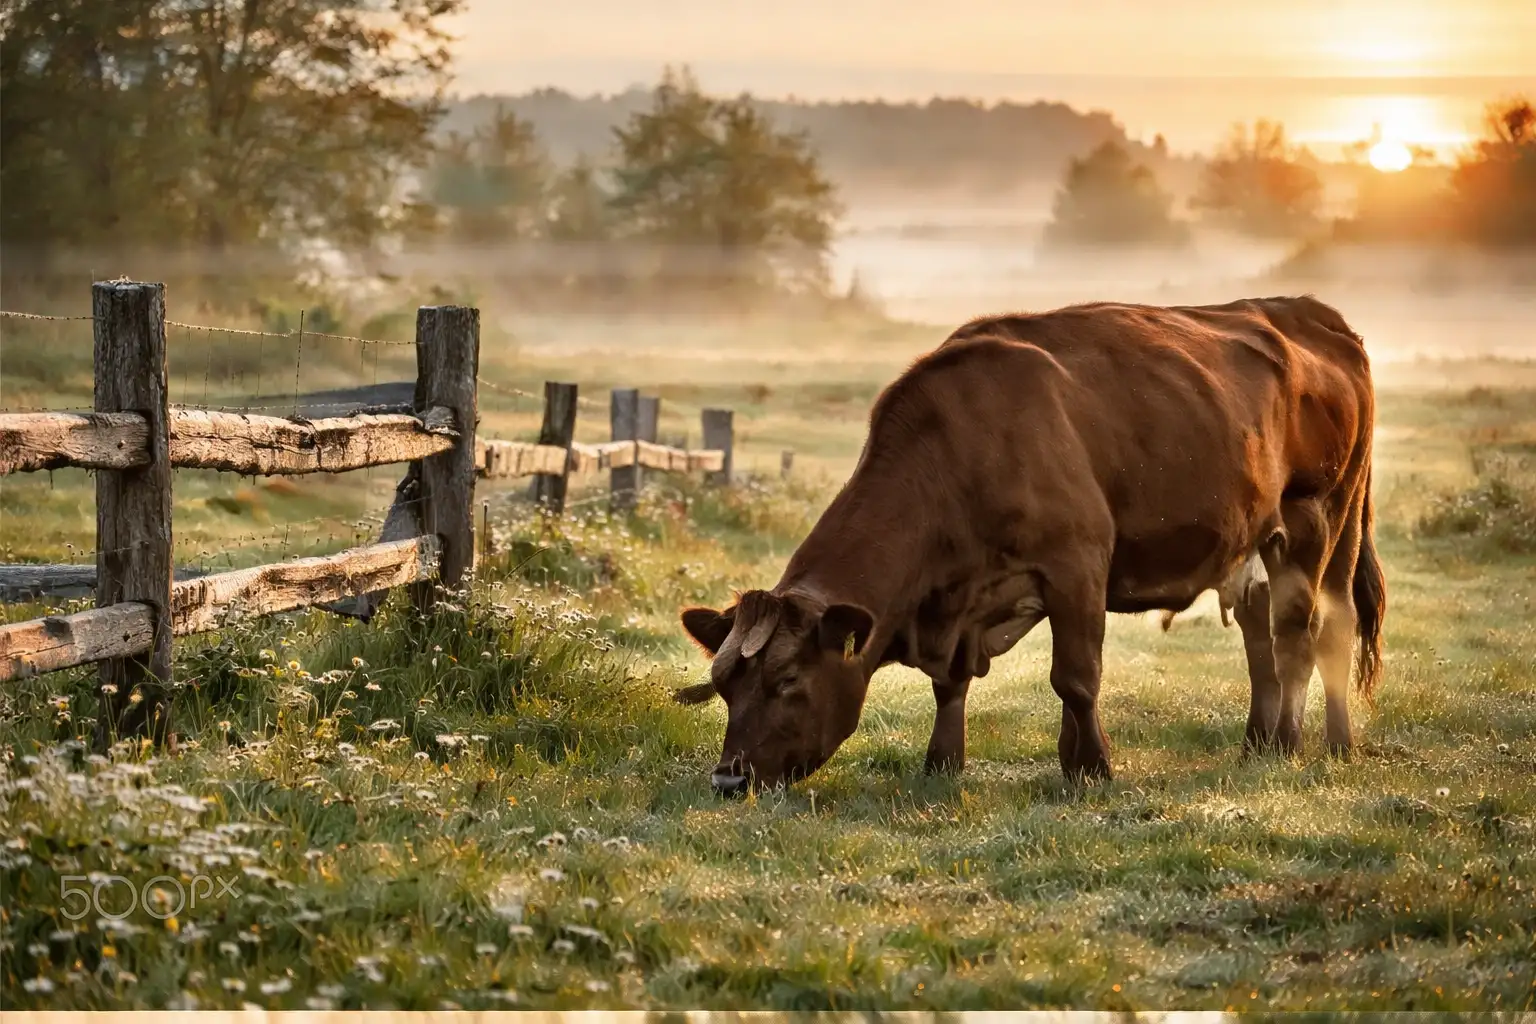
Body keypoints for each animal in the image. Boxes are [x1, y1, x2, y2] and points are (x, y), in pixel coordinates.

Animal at [675, 295, 1386, 796]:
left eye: (788, 679)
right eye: (725, 686)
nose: (728, 779)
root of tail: (1310, 312)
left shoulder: (1078, 563)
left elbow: (1075, 677)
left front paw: (1090, 769)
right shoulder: (960, 599)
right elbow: (950, 684)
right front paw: (943, 764)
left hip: (1321, 516)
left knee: (1311, 629)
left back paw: (1305, 744)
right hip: (1258, 538)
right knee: (1264, 632)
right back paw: (1265, 745)